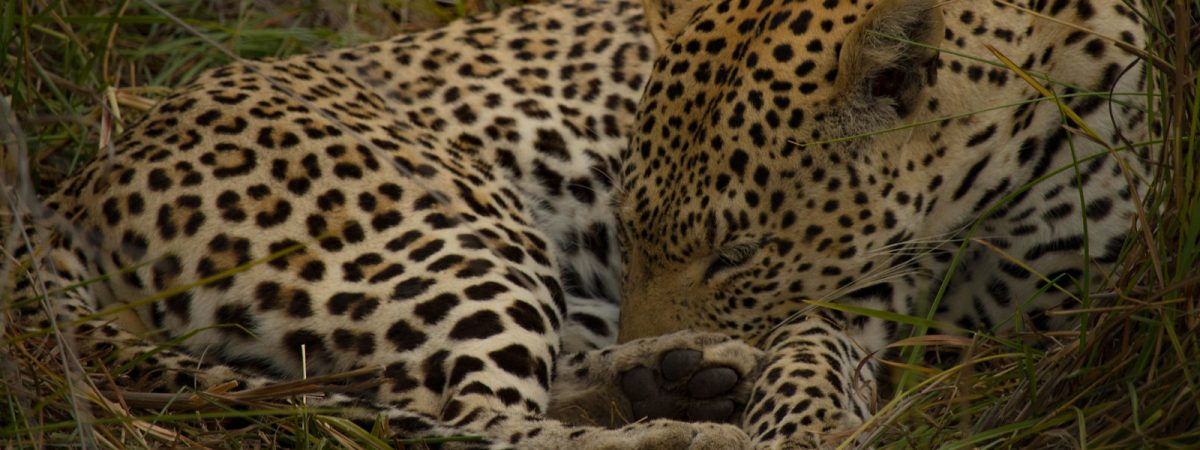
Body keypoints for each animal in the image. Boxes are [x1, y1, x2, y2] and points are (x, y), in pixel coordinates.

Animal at [617, 0, 1153, 447]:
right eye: (627, 233)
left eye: (736, 257)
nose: (633, 363)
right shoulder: (863, 287)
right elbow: (808, 344)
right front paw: (798, 421)